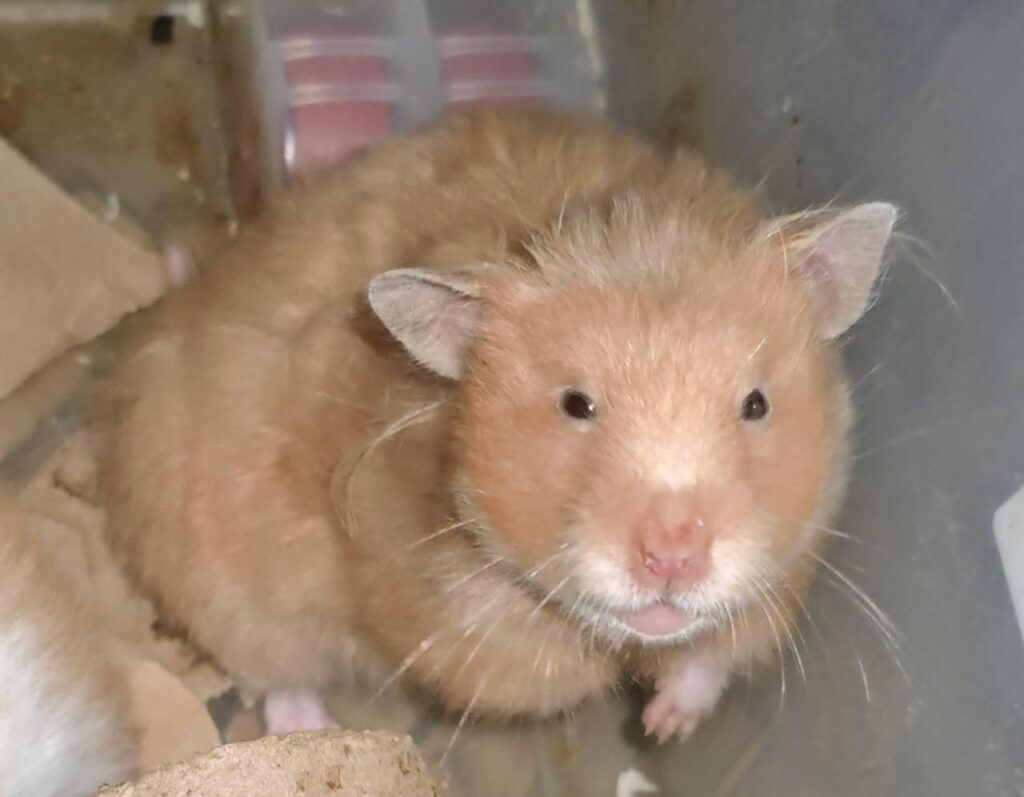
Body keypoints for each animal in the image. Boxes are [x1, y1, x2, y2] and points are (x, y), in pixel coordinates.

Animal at [101, 108, 895, 741]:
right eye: (575, 405)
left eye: (756, 404)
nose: (672, 558)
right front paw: (637, 703)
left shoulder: (793, 561)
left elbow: (711, 653)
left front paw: (664, 724)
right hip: (220, 583)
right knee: (273, 672)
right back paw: (312, 727)